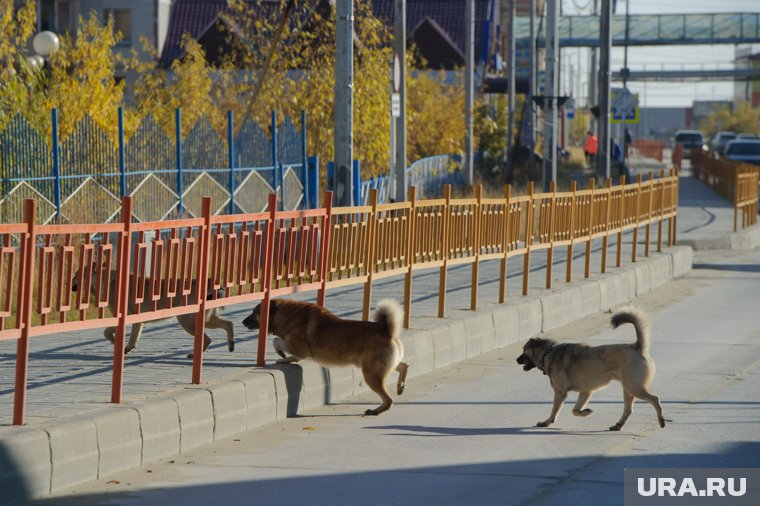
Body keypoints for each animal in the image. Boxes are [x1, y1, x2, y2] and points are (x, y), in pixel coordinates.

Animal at [72, 264, 232, 356]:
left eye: (76, 275)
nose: (69, 283)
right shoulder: (138, 321)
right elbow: (133, 337)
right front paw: (127, 348)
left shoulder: (124, 317)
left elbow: (106, 332)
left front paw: (117, 344)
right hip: (206, 320)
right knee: (228, 324)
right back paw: (231, 345)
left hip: (187, 321)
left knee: (207, 338)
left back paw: (194, 355)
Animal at [243, 298, 410, 414]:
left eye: (255, 312)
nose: (243, 321)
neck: (287, 314)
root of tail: (387, 331)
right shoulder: (298, 350)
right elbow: (286, 349)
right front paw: (285, 358)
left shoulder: (300, 349)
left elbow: (277, 341)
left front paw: (282, 355)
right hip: (379, 367)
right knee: (404, 366)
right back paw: (400, 386)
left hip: (371, 374)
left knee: (389, 400)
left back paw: (375, 411)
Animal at [516, 308, 664, 430]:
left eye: (524, 350)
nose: (516, 360)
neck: (548, 352)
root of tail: (638, 347)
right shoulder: (586, 392)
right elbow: (575, 410)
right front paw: (584, 412)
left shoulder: (560, 393)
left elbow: (554, 410)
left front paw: (547, 422)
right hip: (628, 389)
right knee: (628, 410)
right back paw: (618, 425)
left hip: (634, 387)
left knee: (655, 399)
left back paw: (661, 420)